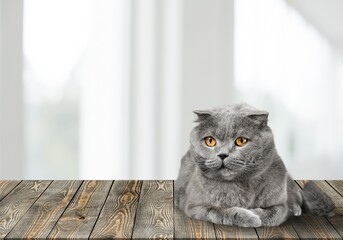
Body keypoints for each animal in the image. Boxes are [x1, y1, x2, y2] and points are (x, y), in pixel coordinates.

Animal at [177, 103, 336, 227]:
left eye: (241, 141)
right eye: (210, 141)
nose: (222, 155)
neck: (240, 186)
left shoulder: (280, 205)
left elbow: (274, 213)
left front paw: (257, 215)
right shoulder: (194, 206)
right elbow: (220, 211)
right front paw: (249, 217)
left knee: (297, 195)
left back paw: (296, 208)